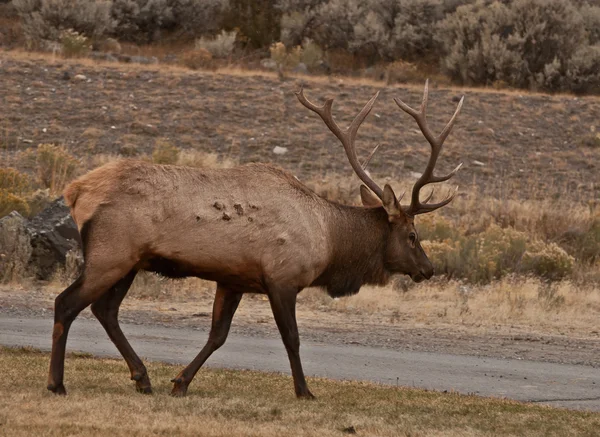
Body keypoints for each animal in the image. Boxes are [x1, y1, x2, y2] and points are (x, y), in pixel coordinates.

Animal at [48, 81, 464, 398]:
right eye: (412, 235)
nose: (428, 269)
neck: (330, 243)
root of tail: (76, 190)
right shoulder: (282, 279)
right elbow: (292, 339)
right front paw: (305, 391)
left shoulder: (233, 280)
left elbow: (217, 336)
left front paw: (180, 383)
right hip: (111, 253)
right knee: (67, 303)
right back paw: (57, 384)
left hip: (131, 262)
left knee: (105, 310)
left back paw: (142, 378)